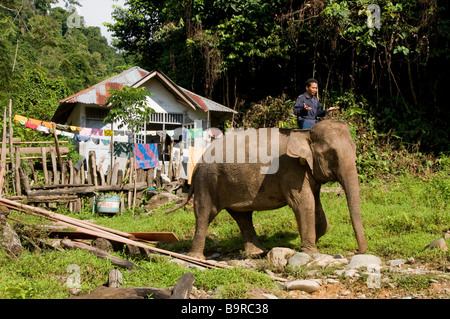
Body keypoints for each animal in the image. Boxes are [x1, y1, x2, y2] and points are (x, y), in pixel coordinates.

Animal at [167, 120, 368, 260]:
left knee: (242, 216)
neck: (305, 134)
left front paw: (314, 239)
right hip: (207, 182)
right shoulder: (290, 168)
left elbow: (316, 204)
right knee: (205, 213)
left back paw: (257, 253)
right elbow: (304, 203)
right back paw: (196, 258)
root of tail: (199, 162)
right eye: (332, 154)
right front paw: (310, 252)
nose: (356, 251)